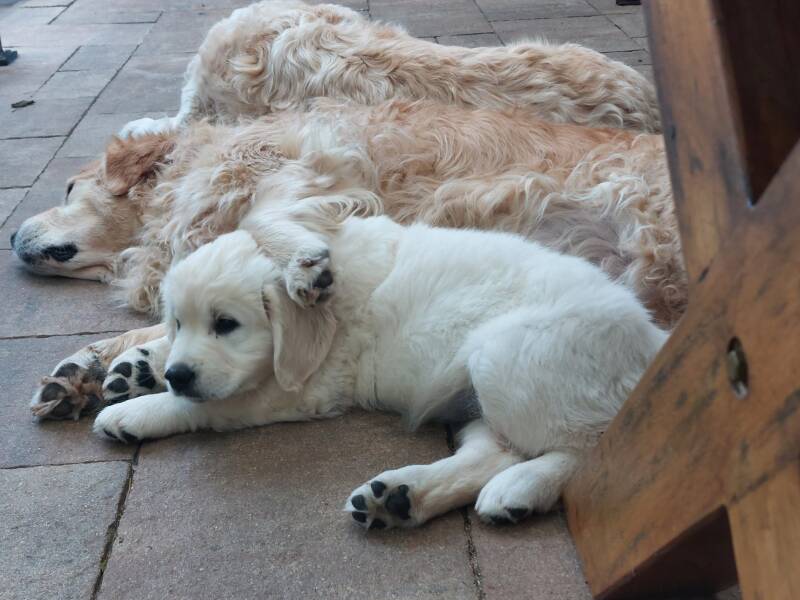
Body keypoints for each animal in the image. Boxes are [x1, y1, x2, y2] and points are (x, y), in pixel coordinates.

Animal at [91, 213, 666, 529]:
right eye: (179, 319)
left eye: (226, 325)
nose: (180, 375)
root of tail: (654, 339)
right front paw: (139, 366)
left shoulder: (306, 386)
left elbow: (209, 405)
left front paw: (138, 409)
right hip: (474, 393)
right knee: (493, 451)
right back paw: (401, 498)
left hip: (505, 355)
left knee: (593, 447)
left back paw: (520, 488)